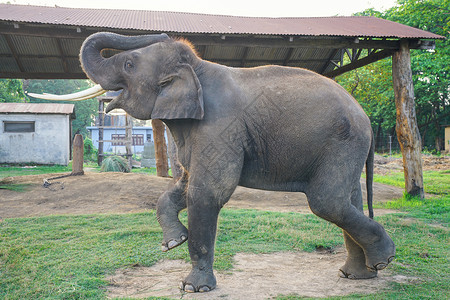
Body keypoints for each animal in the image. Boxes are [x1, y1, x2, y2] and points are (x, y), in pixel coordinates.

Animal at [75, 32, 396, 292]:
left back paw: (384, 260)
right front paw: (173, 242)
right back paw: (358, 274)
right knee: (349, 200)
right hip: (347, 148)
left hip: (342, 143)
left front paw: (193, 288)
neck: (197, 67)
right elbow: (183, 186)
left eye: (129, 65)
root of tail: (365, 116)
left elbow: (207, 192)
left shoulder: (219, 126)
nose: (166, 33)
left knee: (327, 201)